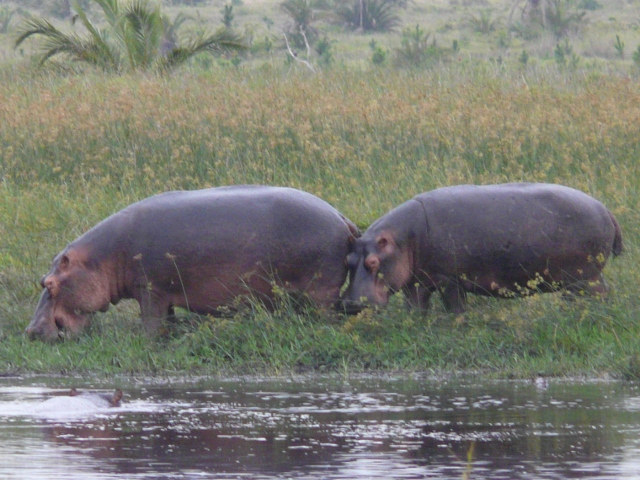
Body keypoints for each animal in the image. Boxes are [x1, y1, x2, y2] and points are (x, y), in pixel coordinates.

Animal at [26, 185, 360, 342]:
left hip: (321, 293)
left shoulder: (151, 289)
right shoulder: (164, 293)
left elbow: (151, 323)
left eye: (50, 284)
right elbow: (168, 321)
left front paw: (147, 343)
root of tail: (340, 215)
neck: (101, 258)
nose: (30, 331)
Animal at [342, 182, 624, 314]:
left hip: (585, 276)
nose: (351, 303)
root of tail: (606, 209)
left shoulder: (449, 279)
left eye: (373, 262)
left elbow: (455, 307)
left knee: (601, 293)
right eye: (348, 261)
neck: (402, 238)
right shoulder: (417, 280)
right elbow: (416, 306)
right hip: (577, 278)